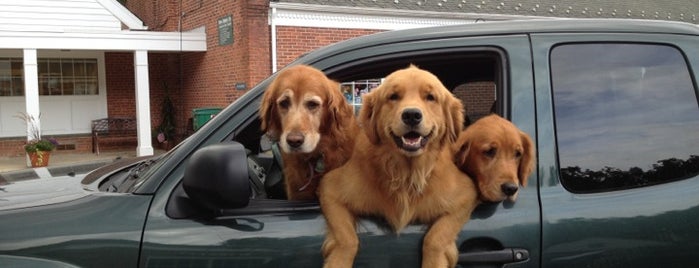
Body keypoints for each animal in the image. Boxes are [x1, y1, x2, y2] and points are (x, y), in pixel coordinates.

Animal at [320, 65, 478, 268]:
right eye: (393, 96)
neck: (406, 173)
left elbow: (435, 237)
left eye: (430, 97)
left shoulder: (466, 194)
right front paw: (339, 260)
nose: (411, 115)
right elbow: (347, 238)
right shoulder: (330, 188)